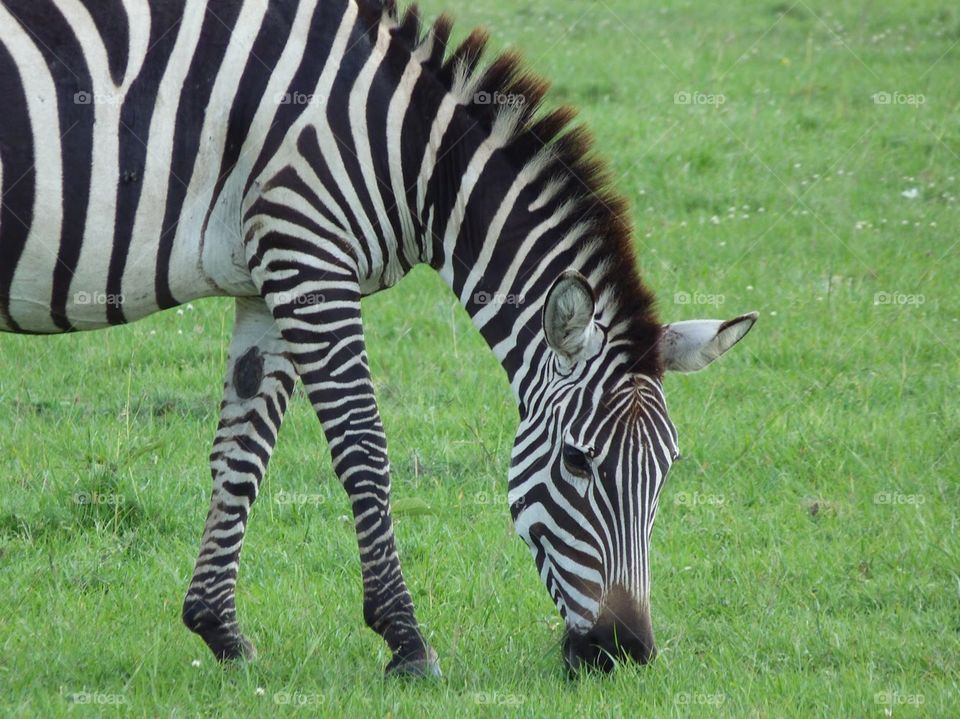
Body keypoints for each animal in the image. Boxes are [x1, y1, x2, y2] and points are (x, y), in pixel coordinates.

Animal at [0, 0, 758, 675]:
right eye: (576, 461)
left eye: (668, 468)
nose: (625, 653)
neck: (408, 151)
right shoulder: (307, 255)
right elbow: (362, 446)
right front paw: (407, 641)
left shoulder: (266, 278)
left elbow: (242, 454)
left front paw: (220, 630)